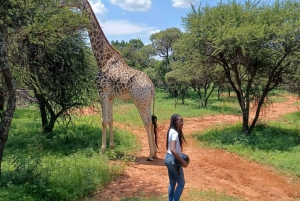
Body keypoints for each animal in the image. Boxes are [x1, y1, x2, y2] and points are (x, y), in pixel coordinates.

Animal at [60, 0, 159, 160]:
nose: (59, 4)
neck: (102, 59)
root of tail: (152, 86)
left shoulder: (102, 91)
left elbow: (103, 121)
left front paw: (101, 150)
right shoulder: (111, 96)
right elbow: (111, 120)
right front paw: (112, 147)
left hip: (139, 100)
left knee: (147, 122)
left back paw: (150, 155)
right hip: (147, 101)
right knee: (152, 121)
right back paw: (155, 152)